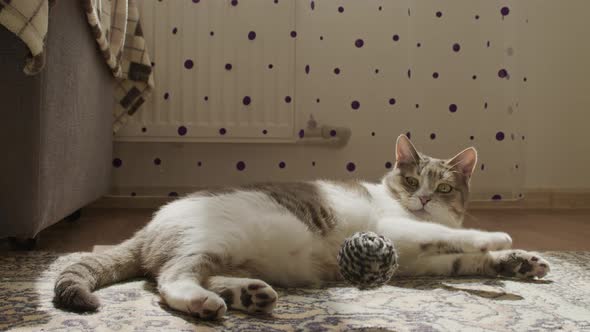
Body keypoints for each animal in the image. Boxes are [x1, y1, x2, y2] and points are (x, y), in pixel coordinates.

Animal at [53, 134, 552, 320]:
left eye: (445, 187)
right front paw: (498, 237)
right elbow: (458, 237)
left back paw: (247, 295)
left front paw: (520, 263)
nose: (424, 199)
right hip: (210, 238)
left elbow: (466, 260)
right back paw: (205, 303)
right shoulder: (398, 231)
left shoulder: (423, 264)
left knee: (198, 274)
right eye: (413, 181)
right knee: (169, 280)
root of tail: (152, 222)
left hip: (225, 254)